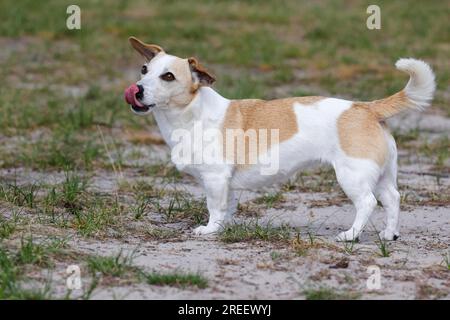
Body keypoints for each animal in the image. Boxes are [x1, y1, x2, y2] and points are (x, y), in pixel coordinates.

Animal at [124, 36, 436, 241]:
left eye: (168, 76)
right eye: (144, 70)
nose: (136, 90)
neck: (191, 115)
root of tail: (366, 107)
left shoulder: (214, 179)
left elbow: (214, 207)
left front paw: (209, 229)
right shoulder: (226, 184)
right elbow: (228, 207)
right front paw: (223, 227)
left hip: (353, 175)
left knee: (368, 203)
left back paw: (350, 235)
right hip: (381, 174)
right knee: (393, 198)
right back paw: (389, 234)